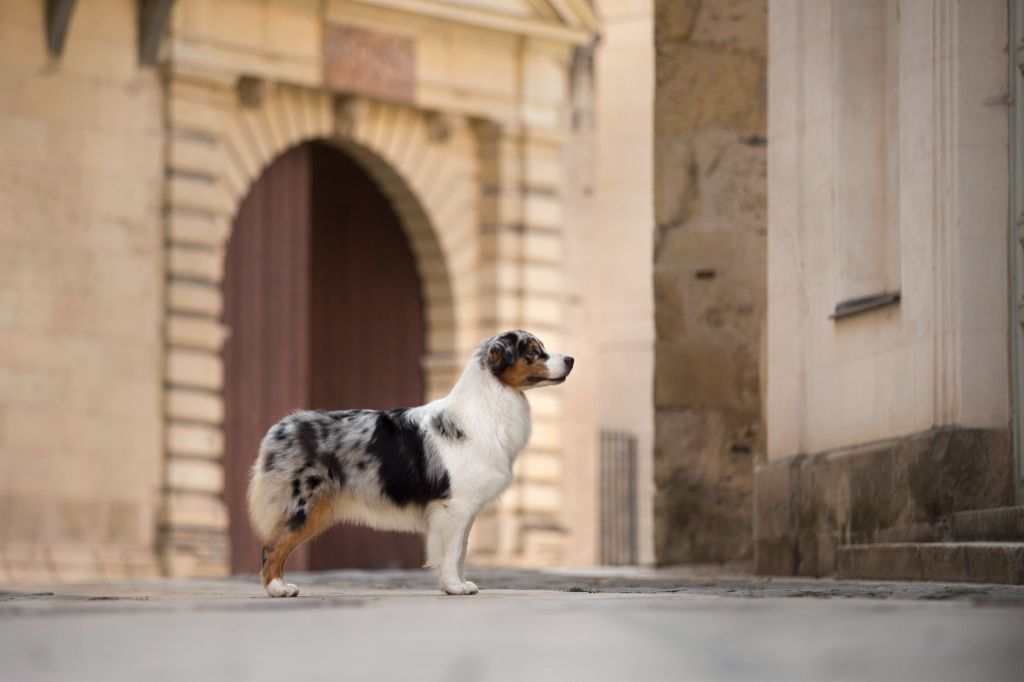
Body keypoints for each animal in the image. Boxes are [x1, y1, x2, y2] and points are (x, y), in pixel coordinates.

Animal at [244, 329, 573, 593]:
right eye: (533, 352)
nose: (570, 359)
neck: (491, 402)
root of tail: (279, 428)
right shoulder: (454, 505)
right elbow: (452, 551)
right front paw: (455, 588)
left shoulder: (463, 509)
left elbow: (460, 550)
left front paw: (456, 584)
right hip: (306, 505)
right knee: (271, 547)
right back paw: (278, 590)